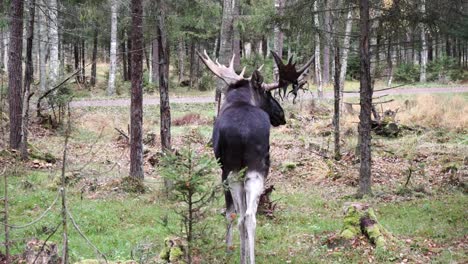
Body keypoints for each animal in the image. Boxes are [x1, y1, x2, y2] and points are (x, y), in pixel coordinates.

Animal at [196, 50, 312, 264]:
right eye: (267, 93)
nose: (281, 115)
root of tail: (243, 132)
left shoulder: (223, 170)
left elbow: (229, 213)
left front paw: (229, 248)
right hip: (253, 169)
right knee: (248, 216)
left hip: (236, 170)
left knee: (244, 216)